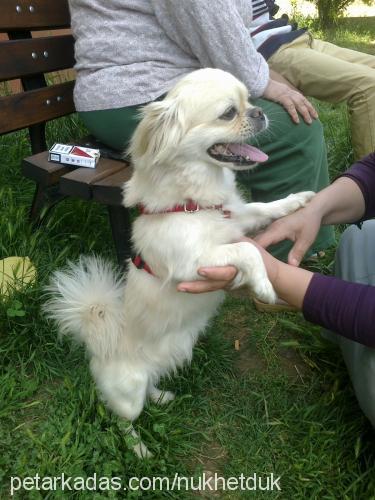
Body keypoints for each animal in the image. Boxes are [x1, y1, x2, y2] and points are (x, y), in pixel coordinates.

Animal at [45, 68, 316, 458]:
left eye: (249, 100)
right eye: (228, 113)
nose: (259, 112)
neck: (194, 204)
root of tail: (100, 337)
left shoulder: (237, 217)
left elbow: (264, 208)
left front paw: (298, 200)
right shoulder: (194, 262)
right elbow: (246, 251)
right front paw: (265, 286)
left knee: (150, 388)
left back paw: (161, 397)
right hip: (127, 395)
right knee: (121, 419)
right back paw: (140, 449)